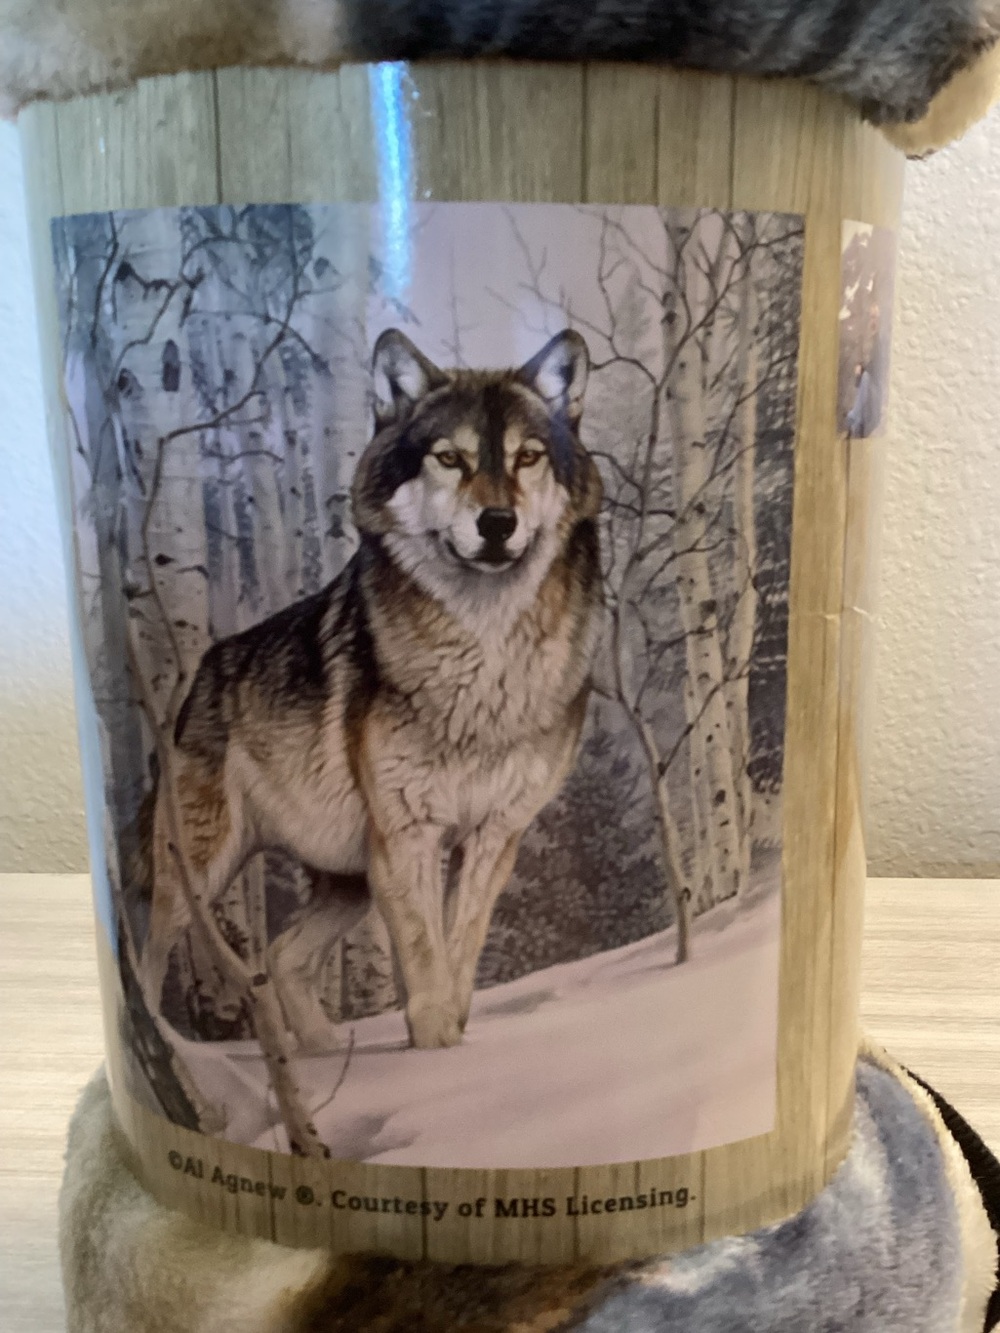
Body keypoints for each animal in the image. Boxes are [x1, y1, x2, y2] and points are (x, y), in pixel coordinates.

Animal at [140, 327, 603, 1050]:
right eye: (449, 458)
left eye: (527, 457)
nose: (497, 522)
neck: (486, 656)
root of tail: (200, 676)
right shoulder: (408, 835)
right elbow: (426, 960)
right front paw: (435, 1053)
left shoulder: (493, 834)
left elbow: (460, 953)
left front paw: (453, 1047)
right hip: (204, 871)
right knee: (150, 956)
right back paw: (169, 1043)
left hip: (348, 881)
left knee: (282, 954)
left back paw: (324, 1056)